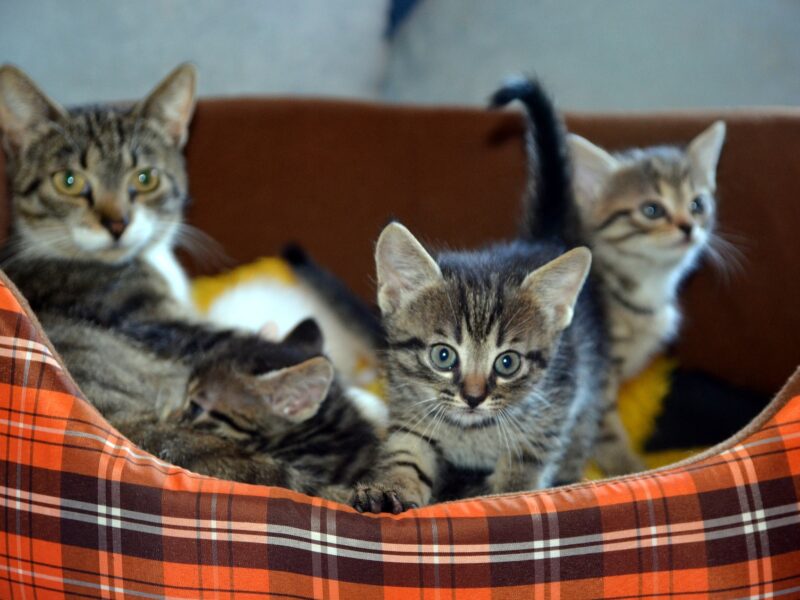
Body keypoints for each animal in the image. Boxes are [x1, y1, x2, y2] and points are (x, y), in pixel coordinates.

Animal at [0, 64, 380, 496]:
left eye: (145, 178)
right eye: (68, 181)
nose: (117, 224)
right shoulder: (151, 320)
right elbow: (237, 340)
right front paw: (363, 400)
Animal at [350, 78, 608, 516]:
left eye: (507, 362)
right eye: (443, 355)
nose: (473, 397)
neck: (469, 432)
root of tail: (540, 240)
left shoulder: (548, 419)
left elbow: (520, 475)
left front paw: (503, 499)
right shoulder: (411, 410)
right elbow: (406, 454)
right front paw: (389, 489)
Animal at [564, 122, 728, 476]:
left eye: (697, 204)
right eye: (652, 210)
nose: (688, 227)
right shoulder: (600, 368)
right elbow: (605, 423)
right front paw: (626, 465)